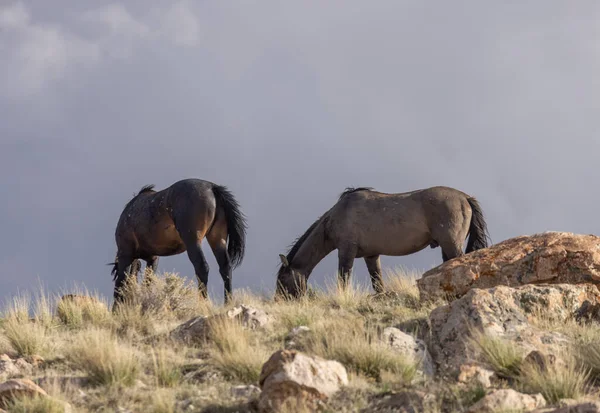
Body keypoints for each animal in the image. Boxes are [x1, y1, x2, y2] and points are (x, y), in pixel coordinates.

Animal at [108, 177, 246, 302]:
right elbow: (146, 283)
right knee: (225, 268)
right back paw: (228, 303)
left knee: (202, 267)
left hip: (193, 241)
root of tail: (212, 187)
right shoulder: (153, 259)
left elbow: (120, 286)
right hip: (217, 239)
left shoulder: (126, 255)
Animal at [274, 186, 490, 296]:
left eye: (283, 280)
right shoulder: (371, 255)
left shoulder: (346, 251)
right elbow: (377, 282)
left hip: (451, 244)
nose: (281, 301)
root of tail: (465, 197)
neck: (337, 216)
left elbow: (344, 277)